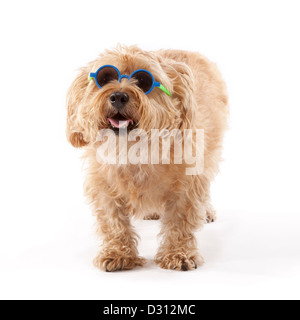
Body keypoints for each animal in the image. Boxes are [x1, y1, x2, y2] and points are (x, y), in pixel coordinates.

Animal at [67, 44, 229, 270]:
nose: (118, 96)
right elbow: (113, 222)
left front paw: (177, 253)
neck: (134, 150)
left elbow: (180, 222)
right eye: (105, 77)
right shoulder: (103, 187)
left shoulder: (187, 186)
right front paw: (118, 253)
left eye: (144, 81)